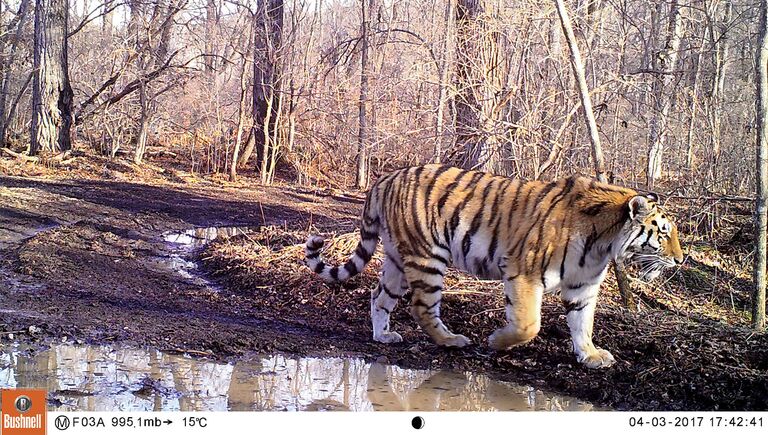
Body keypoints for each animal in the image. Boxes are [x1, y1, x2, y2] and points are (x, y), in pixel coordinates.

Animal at [306, 165, 684, 370]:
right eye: (664, 233)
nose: (681, 259)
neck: (601, 245)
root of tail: (384, 179)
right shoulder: (524, 271)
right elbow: (528, 325)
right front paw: (496, 341)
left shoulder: (582, 285)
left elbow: (582, 324)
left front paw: (590, 356)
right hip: (428, 256)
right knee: (422, 307)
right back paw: (452, 341)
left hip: (399, 259)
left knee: (379, 296)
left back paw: (383, 335)